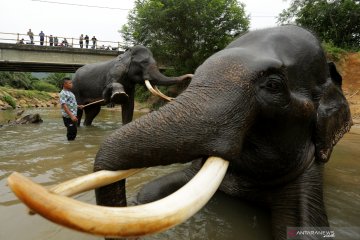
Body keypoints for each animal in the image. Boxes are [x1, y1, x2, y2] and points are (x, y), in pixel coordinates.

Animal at [7, 25, 352, 239]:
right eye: (141, 65)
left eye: (274, 86)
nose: (186, 75)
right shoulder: (114, 73)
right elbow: (151, 193)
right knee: (82, 113)